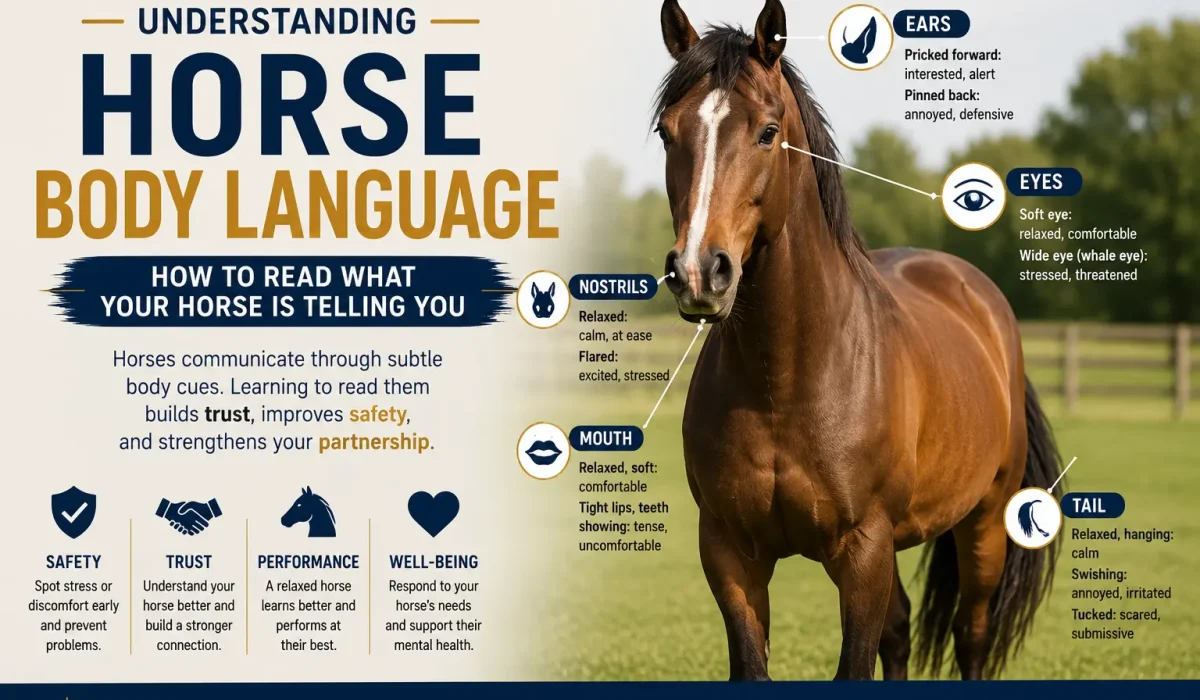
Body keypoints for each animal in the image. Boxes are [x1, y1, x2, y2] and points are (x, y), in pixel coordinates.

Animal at [655, 0, 1064, 681]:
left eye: (767, 131)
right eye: (667, 131)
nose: (697, 273)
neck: (787, 378)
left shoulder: (864, 551)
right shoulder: (729, 552)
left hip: (985, 523)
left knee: (971, 635)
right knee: (899, 634)